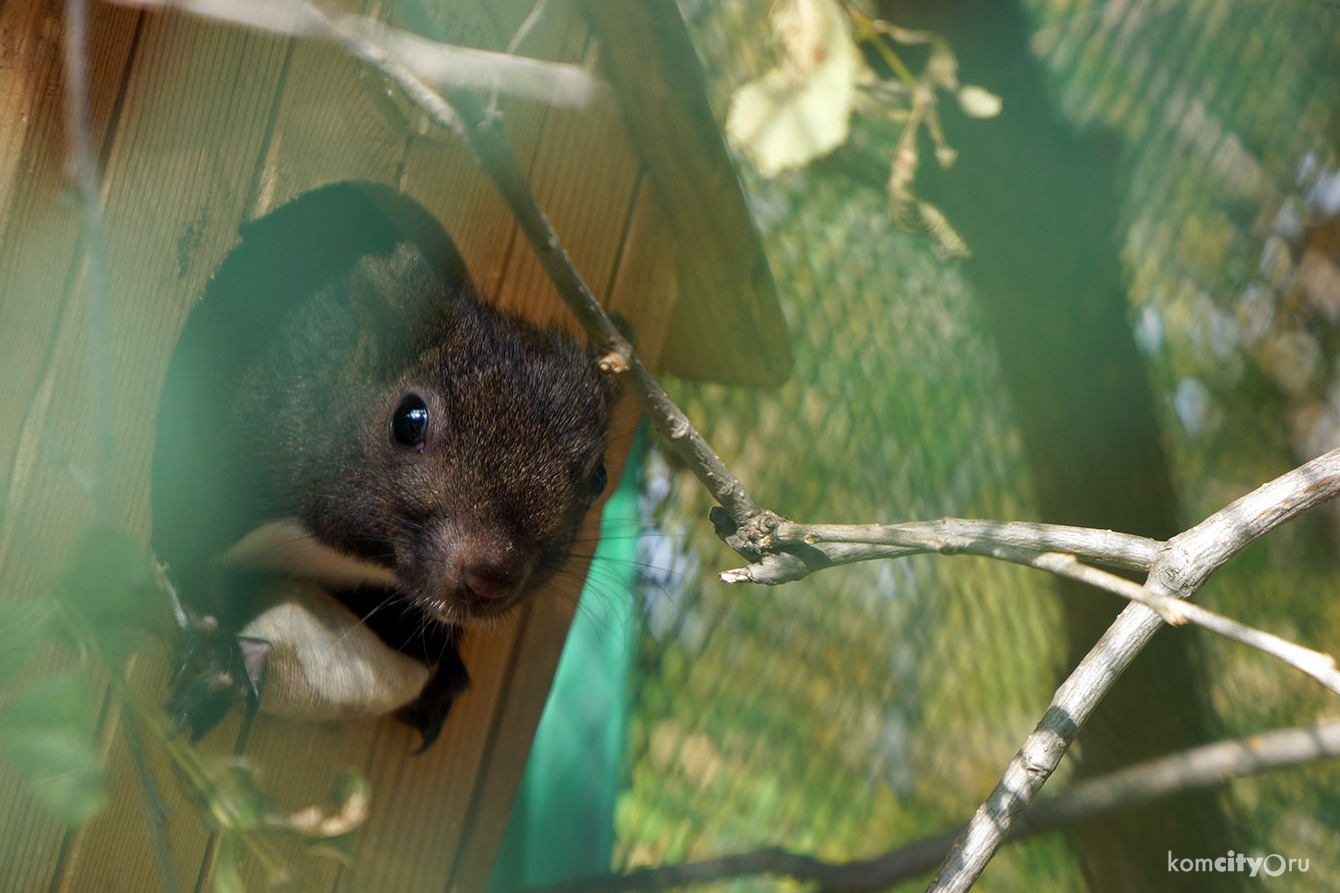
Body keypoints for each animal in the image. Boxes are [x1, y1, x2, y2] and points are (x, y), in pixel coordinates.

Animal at [153, 238, 616, 745]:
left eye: (599, 478)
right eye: (409, 419)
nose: (491, 578)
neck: (343, 554)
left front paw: (440, 678)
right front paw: (214, 655)